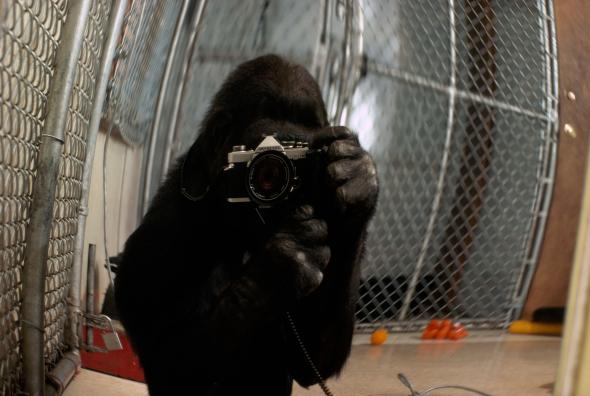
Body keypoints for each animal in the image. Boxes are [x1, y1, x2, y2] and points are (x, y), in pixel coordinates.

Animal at [117, 53, 380, 396]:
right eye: (264, 169)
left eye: (303, 146)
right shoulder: (157, 242)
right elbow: (171, 362)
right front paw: (281, 266)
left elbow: (311, 363)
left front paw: (358, 181)